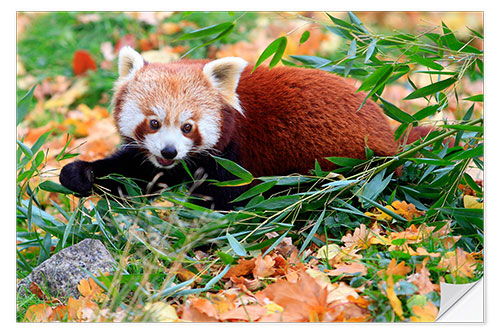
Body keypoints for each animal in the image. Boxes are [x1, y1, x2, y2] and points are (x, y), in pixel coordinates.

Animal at [59, 46, 398, 208]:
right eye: (154, 123)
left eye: (187, 127)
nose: (169, 151)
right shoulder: (167, 162)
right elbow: (134, 174)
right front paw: (80, 174)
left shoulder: (235, 159)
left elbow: (224, 201)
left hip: (346, 170)